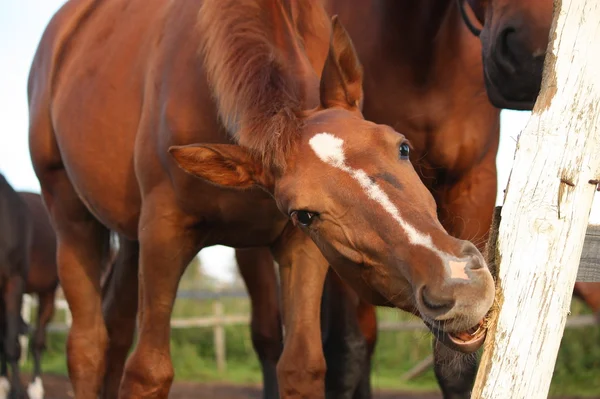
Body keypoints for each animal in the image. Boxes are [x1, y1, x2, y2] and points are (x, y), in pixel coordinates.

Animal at [28, 3, 494, 399]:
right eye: (306, 213)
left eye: (402, 147)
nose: (458, 282)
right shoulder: (164, 229)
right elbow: (148, 371)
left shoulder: (299, 250)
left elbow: (301, 366)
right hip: (71, 218)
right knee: (87, 348)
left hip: (129, 241)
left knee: (115, 332)